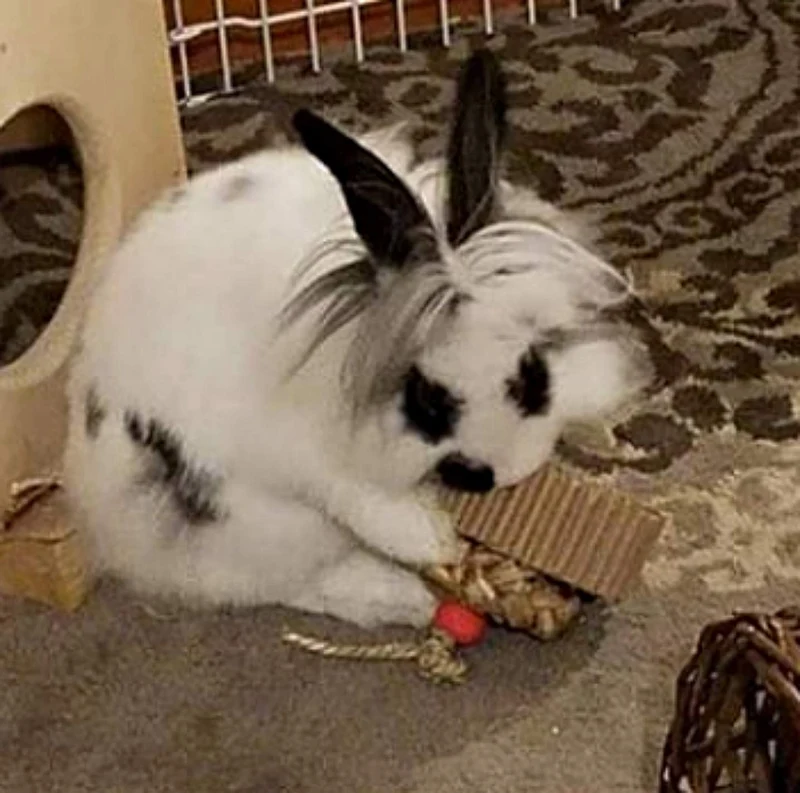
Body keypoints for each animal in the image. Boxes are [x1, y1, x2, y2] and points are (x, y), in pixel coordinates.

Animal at [63, 49, 644, 629]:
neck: (356, 323)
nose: (494, 475)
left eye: (533, 375)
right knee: (269, 583)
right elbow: (351, 493)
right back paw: (400, 597)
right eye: (425, 398)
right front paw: (430, 541)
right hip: (253, 523)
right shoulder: (294, 446)